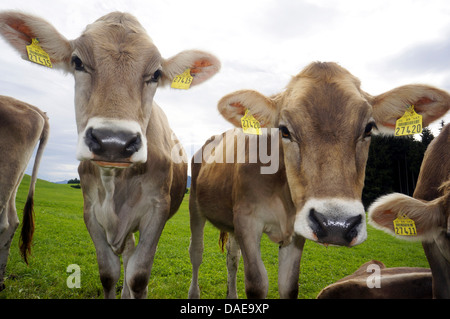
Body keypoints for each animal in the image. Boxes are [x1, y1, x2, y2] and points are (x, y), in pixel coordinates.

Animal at [0, 10, 220, 300]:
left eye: (156, 73)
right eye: (77, 62)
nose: (113, 141)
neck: (116, 180)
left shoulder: (157, 209)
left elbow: (138, 276)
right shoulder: (91, 211)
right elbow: (109, 273)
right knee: (127, 252)